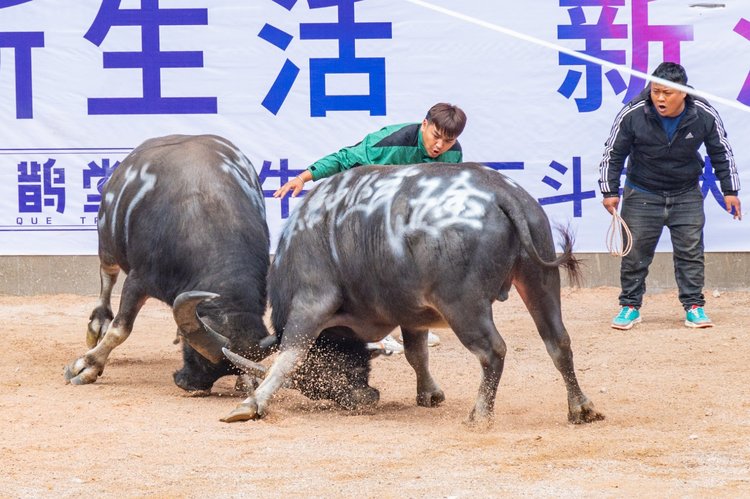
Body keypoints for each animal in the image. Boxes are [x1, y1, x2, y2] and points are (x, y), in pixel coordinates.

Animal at [64, 135, 276, 392]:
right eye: (196, 354)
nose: (191, 384)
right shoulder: (138, 280)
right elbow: (120, 328)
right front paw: (87, 366)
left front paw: (247, 378)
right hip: (107, 242)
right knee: (108, 274)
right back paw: (98, 323)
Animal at [222, 164, 604, 426]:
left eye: (317, 384)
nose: (364, 399)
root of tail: (501, 193)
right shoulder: (412, 314)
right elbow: (416, 353)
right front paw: (429, 393)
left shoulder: (311, 303)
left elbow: (291, 355)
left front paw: (251, 404)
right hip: (540, 280)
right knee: (558, 341)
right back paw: (580, 407)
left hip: (463, 304)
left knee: (493, 351)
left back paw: (480, 414)